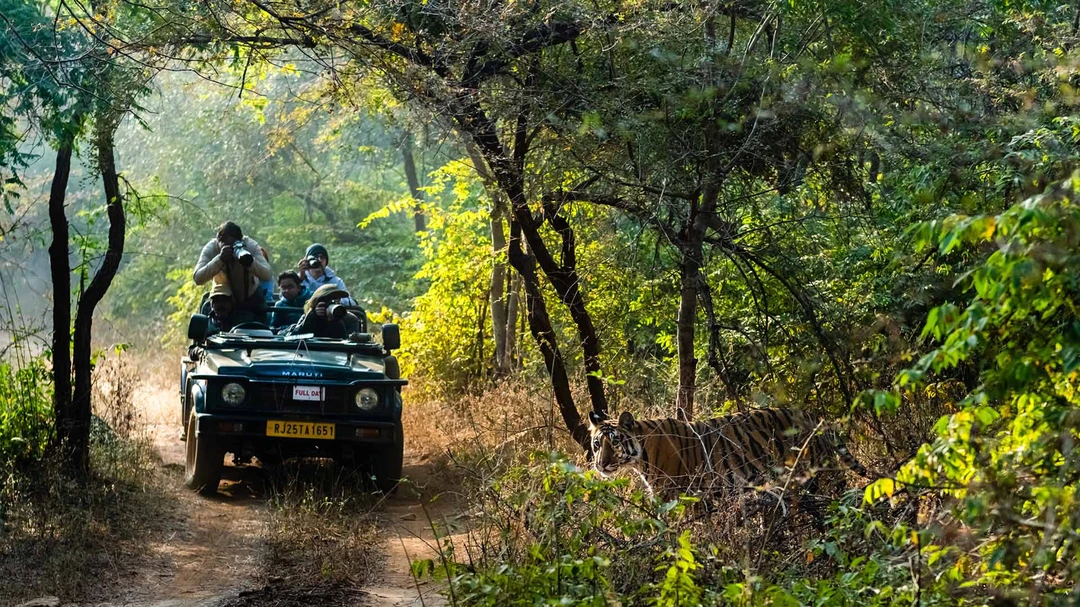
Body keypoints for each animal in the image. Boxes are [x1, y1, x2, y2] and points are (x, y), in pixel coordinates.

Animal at [587, 408, 869, 500]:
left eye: (615, 443)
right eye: (597, 444)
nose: (601, 465)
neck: (641, 457)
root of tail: (810, 414)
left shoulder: (683, 498)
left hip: (818, 474)